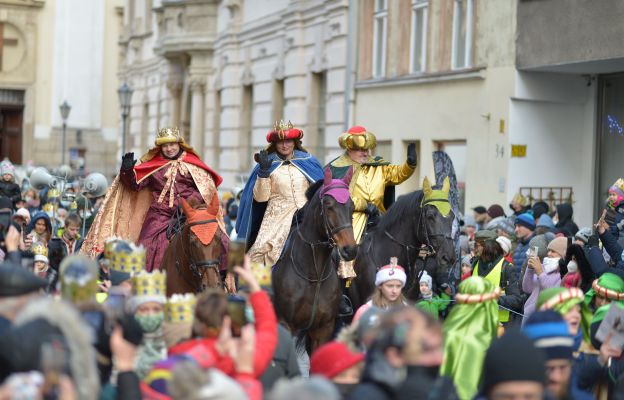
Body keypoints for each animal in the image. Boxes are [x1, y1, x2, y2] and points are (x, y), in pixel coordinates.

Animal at [272, 167, 356, 354]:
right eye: (328, 206)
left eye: (352, 207)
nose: (350, 250)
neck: (313, 274)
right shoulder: (286, 324)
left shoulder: (323, 329)